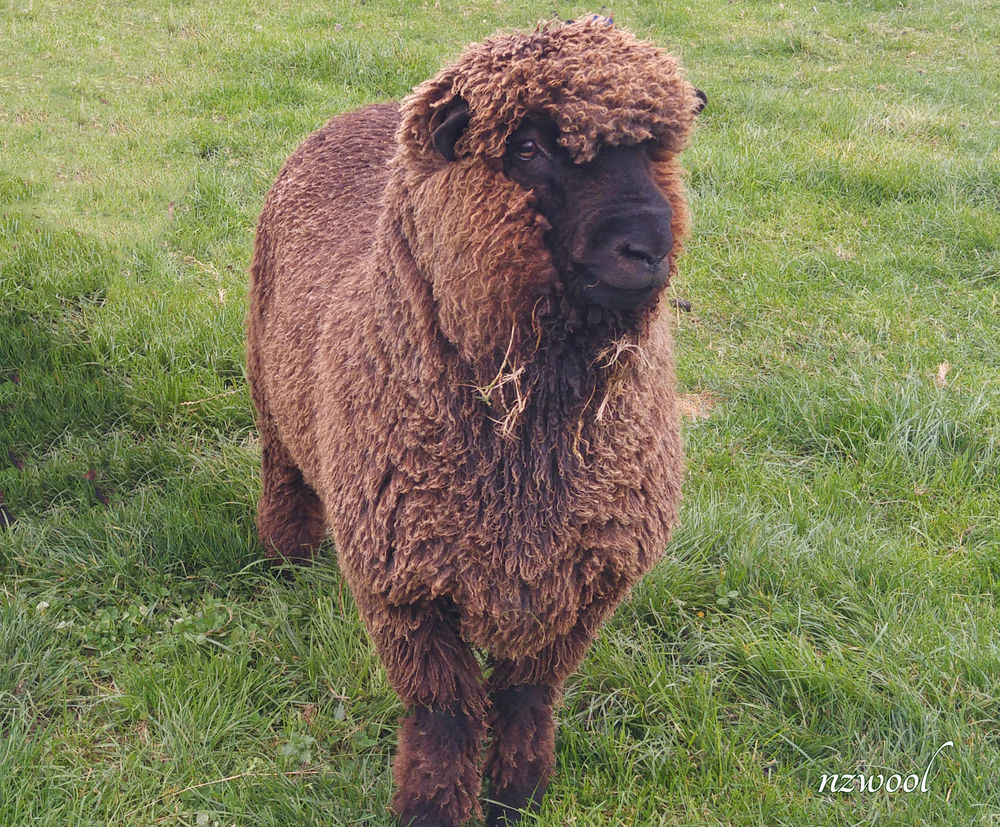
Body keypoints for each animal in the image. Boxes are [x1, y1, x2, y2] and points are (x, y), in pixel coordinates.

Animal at [248, 14, 704, 827]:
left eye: (657, 149)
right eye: (527, 148)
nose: (647, 247)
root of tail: (375, 107)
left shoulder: (582, 582)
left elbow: (527, 698)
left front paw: (517, 794)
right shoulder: (405, 583)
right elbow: (446, 713)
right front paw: (432, 806)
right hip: (270, 392)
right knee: (283, 472)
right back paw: (285, 552)